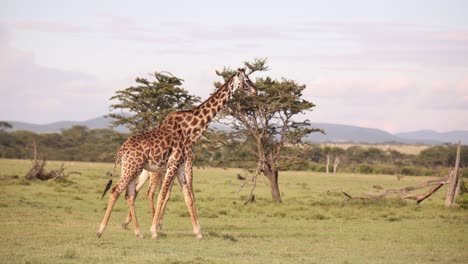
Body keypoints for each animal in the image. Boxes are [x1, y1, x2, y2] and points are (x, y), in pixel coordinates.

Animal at [95, 68, 256, 239]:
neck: (190, 129)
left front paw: (198, 232)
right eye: (247, 80)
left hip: (133, 169)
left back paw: (138, 232)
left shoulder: (180, 165)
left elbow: (187, 197)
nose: (255, 90)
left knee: (130, 194)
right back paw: (100, 231)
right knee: (116, 191)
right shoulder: (175, 163)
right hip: (133, 169)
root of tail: (121, 151)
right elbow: (163, 195)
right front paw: (154, 230)